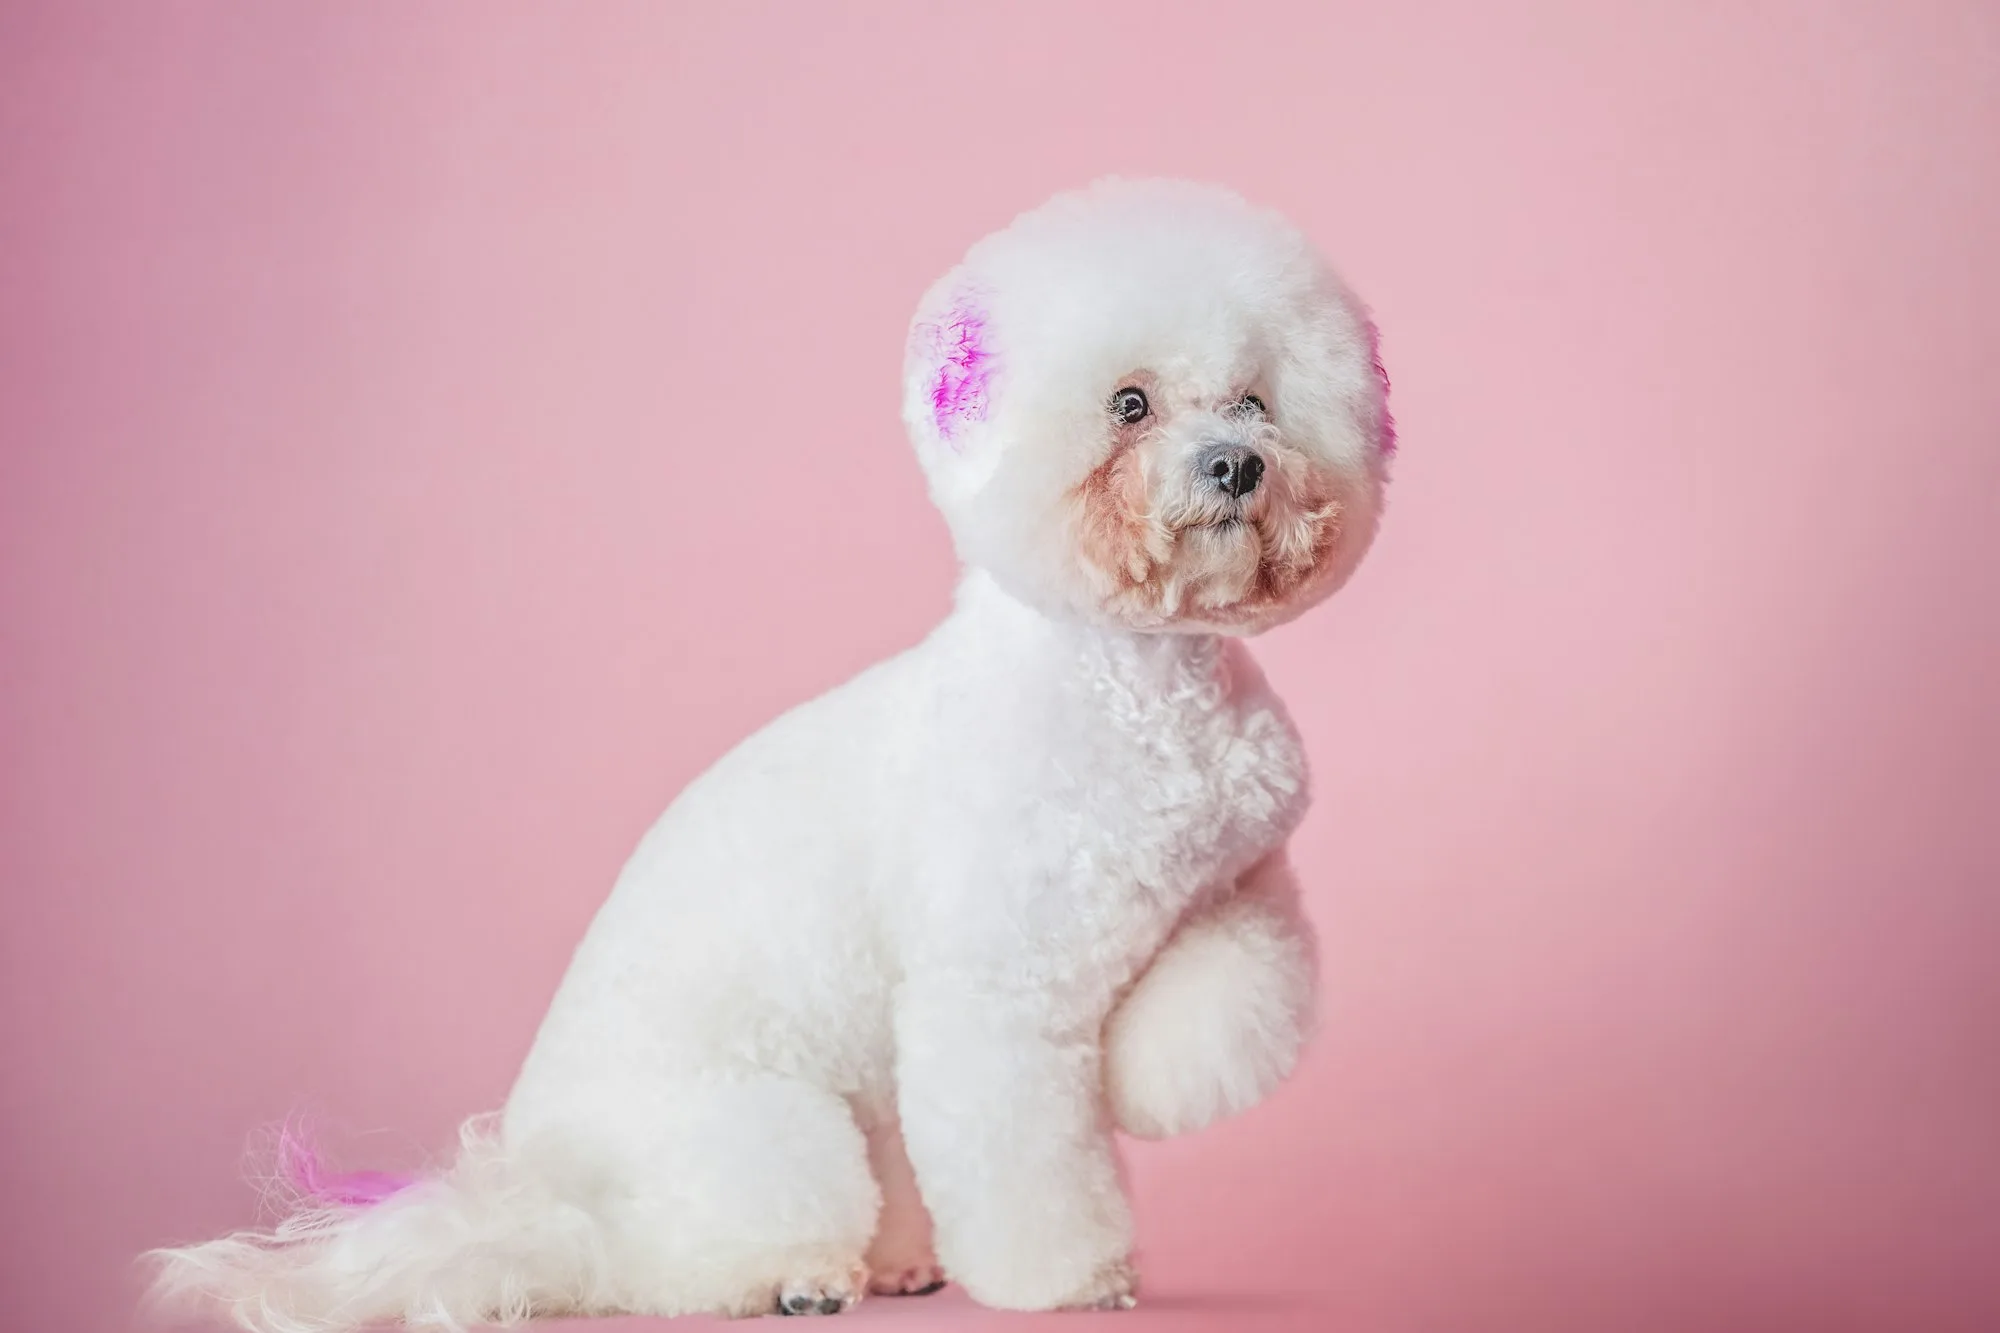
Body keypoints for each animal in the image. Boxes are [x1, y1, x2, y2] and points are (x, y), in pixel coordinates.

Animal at [148, 174, 1392, 1320]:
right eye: (1128, 404)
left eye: (1256, 402)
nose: (1234, 463)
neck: (1141, 684)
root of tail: (537, 1201)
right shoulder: (993, 996)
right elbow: (1023, 1157)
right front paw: (1071, 1275)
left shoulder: (1243, 884)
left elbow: (1241, 996)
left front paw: (1141, 1081)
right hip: (765, 1131)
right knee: (652, 1272)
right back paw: (793, 1277)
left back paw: (895, 1262)